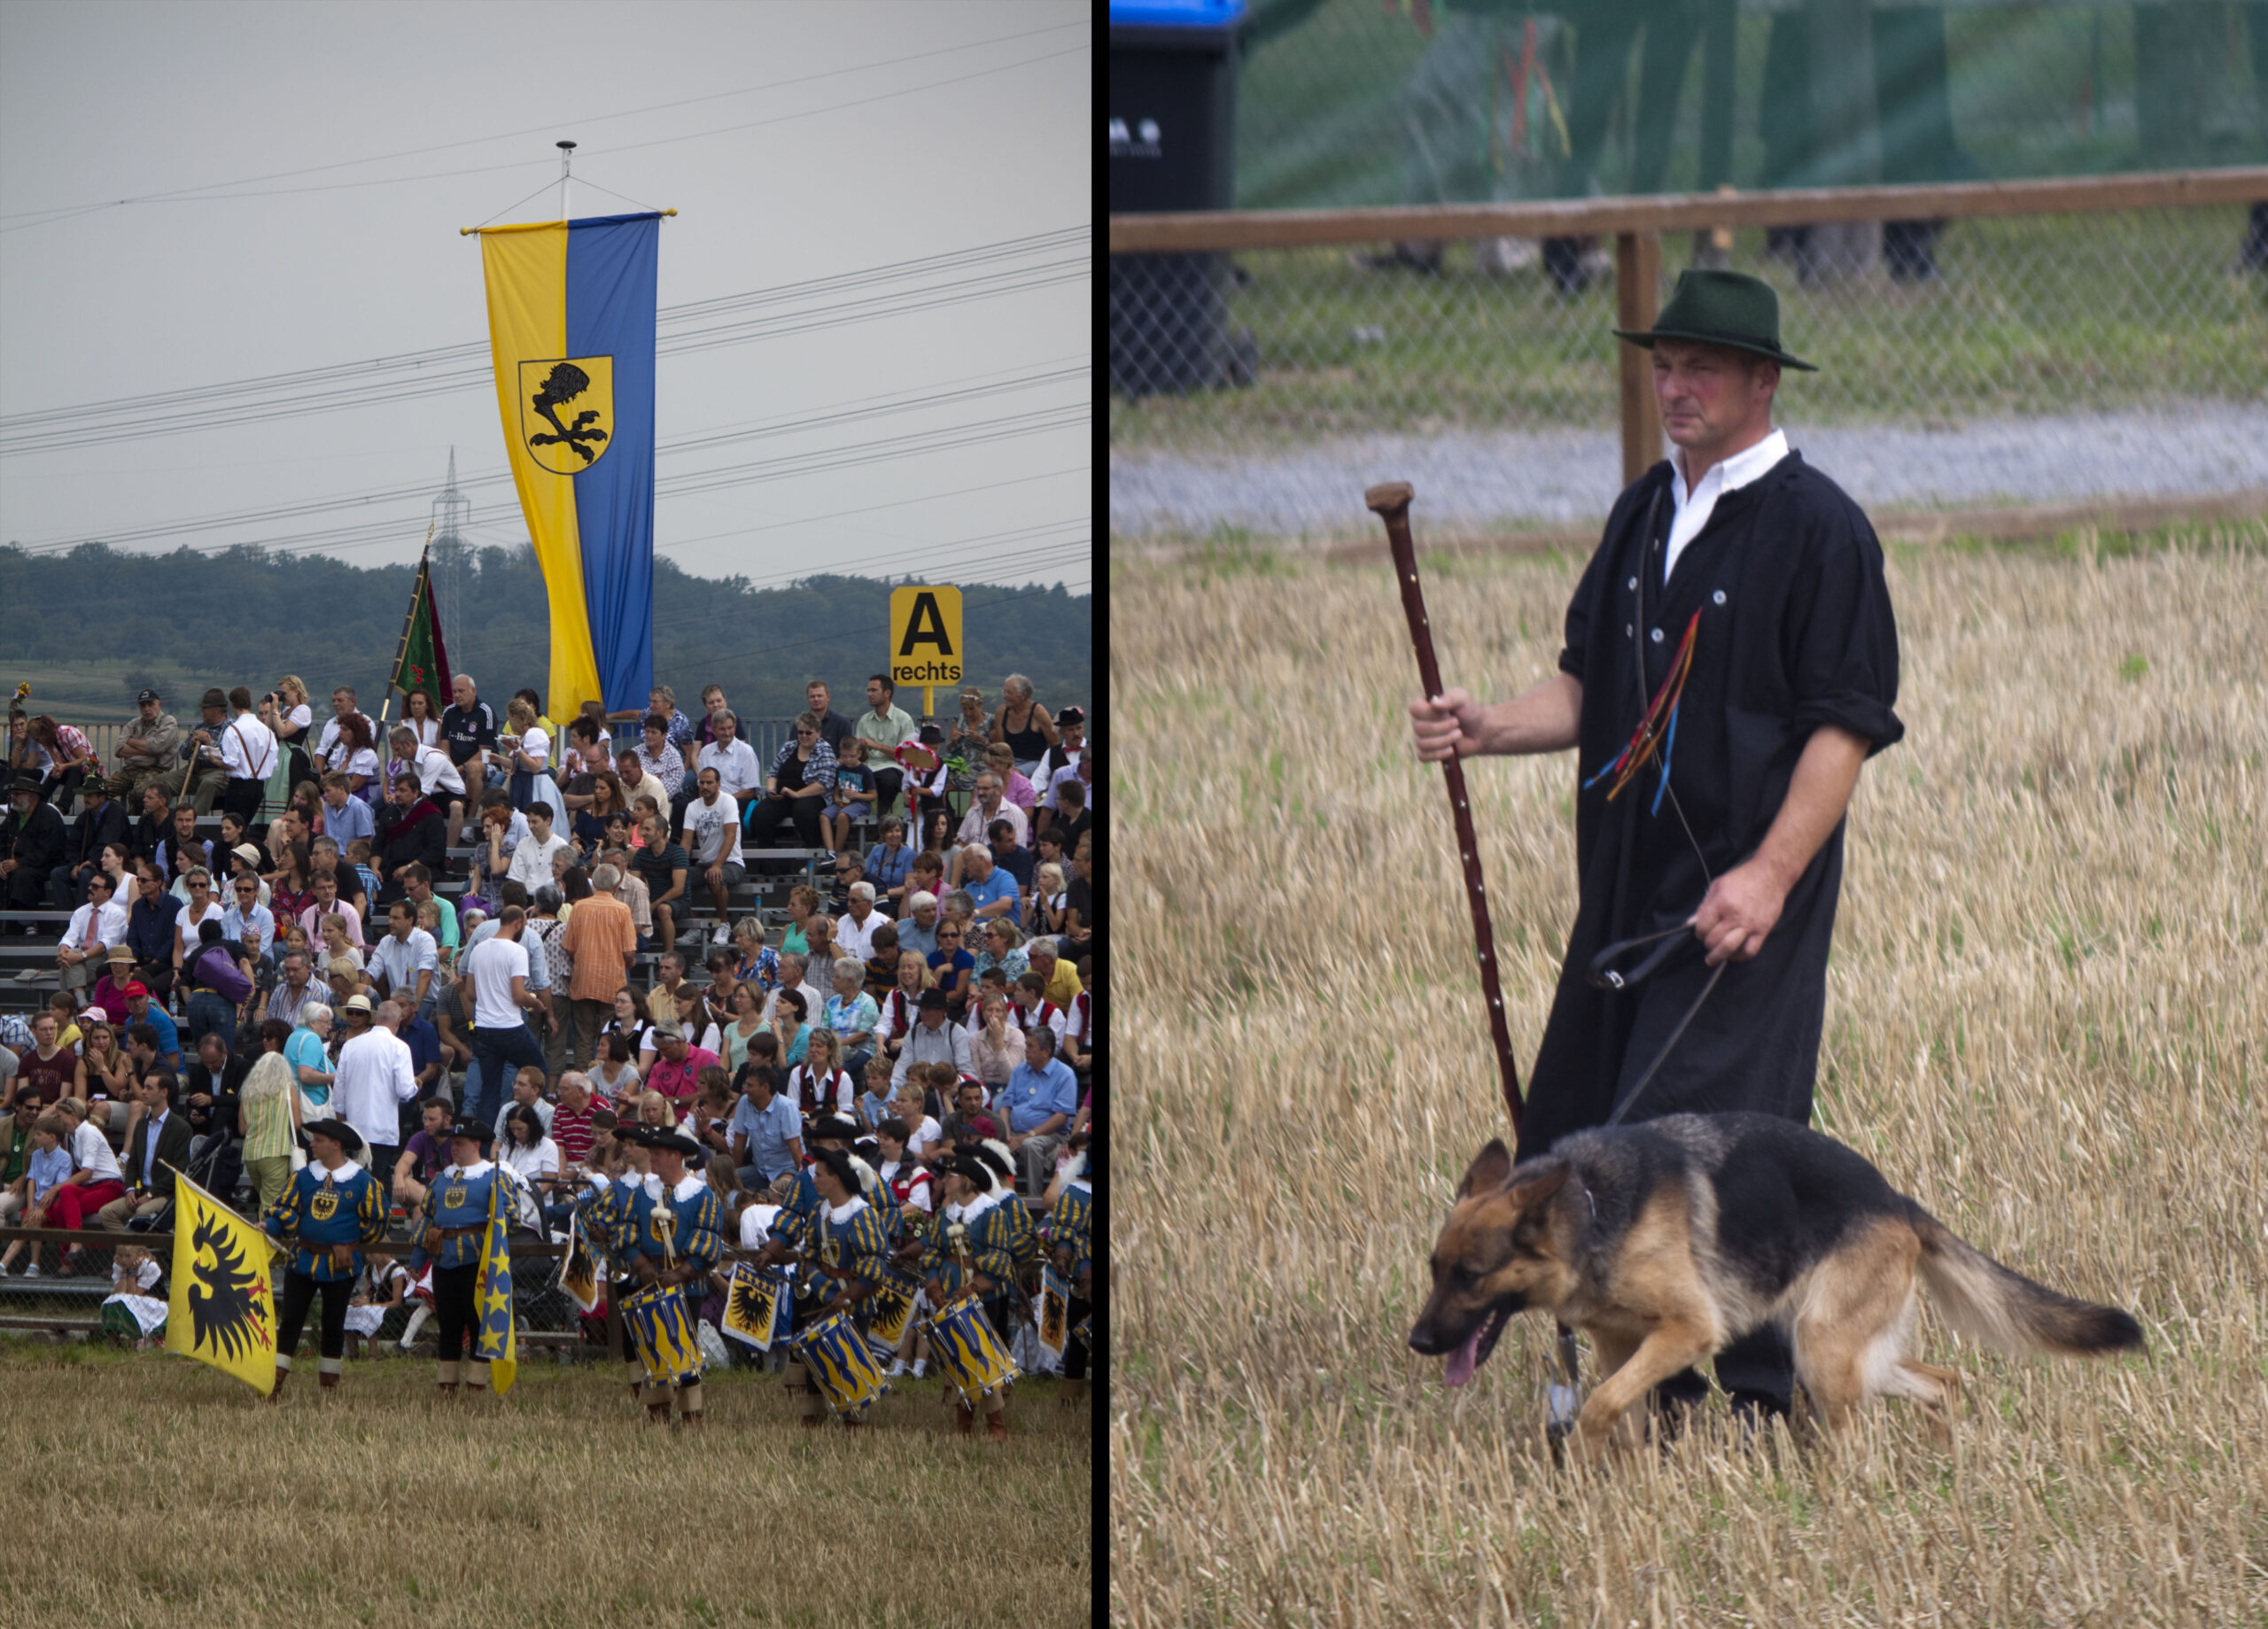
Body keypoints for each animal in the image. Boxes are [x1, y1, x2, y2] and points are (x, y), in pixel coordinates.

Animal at [1406, 1116, 2132, 1452]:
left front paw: (1587, 1458)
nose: (1418, 1342)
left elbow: (1600, 1405)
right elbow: (1621, 1411)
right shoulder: (1620, 1346)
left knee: (1859, 1438)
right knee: (1943, 1382)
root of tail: (1896, 1201)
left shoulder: (1687, 1330)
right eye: (1434, 1269)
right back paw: (1947, 1461)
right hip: (1841, 1350)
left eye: (1471, 1276)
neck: (1589, 1205)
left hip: (1821, 1347)